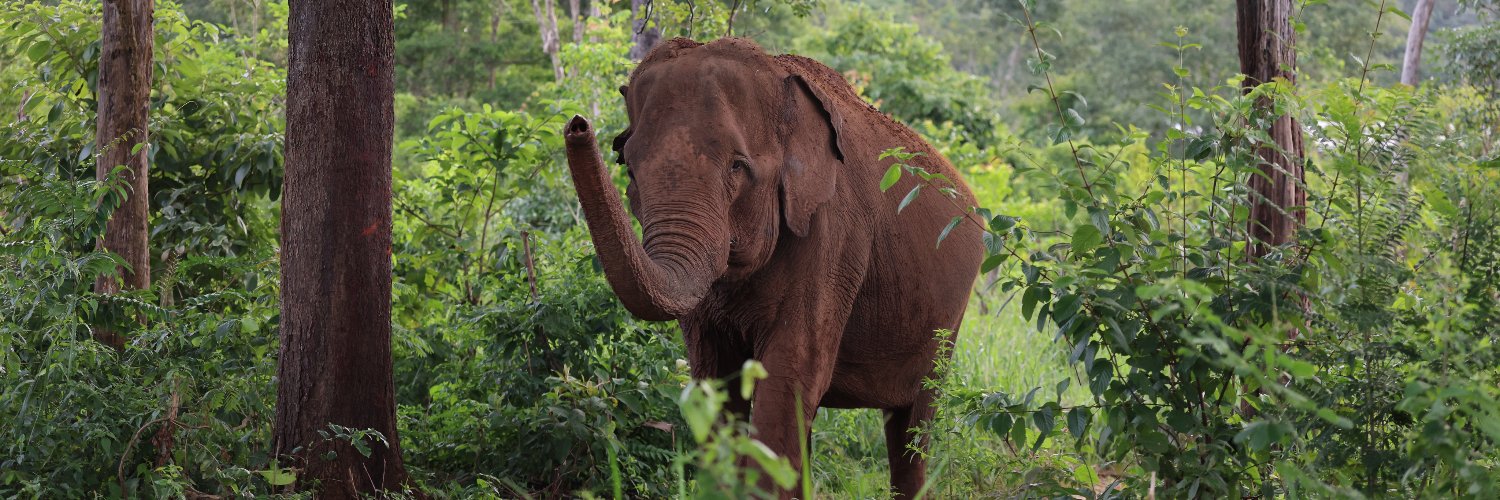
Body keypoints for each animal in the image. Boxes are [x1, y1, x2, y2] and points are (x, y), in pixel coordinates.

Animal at [562, 37, 983, 498]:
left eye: (737, 166)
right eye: (630, 169)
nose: (577, 125)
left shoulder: (833, 238)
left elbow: (791, 374)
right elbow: (717, 379)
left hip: (948, 322)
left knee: (912, 424)